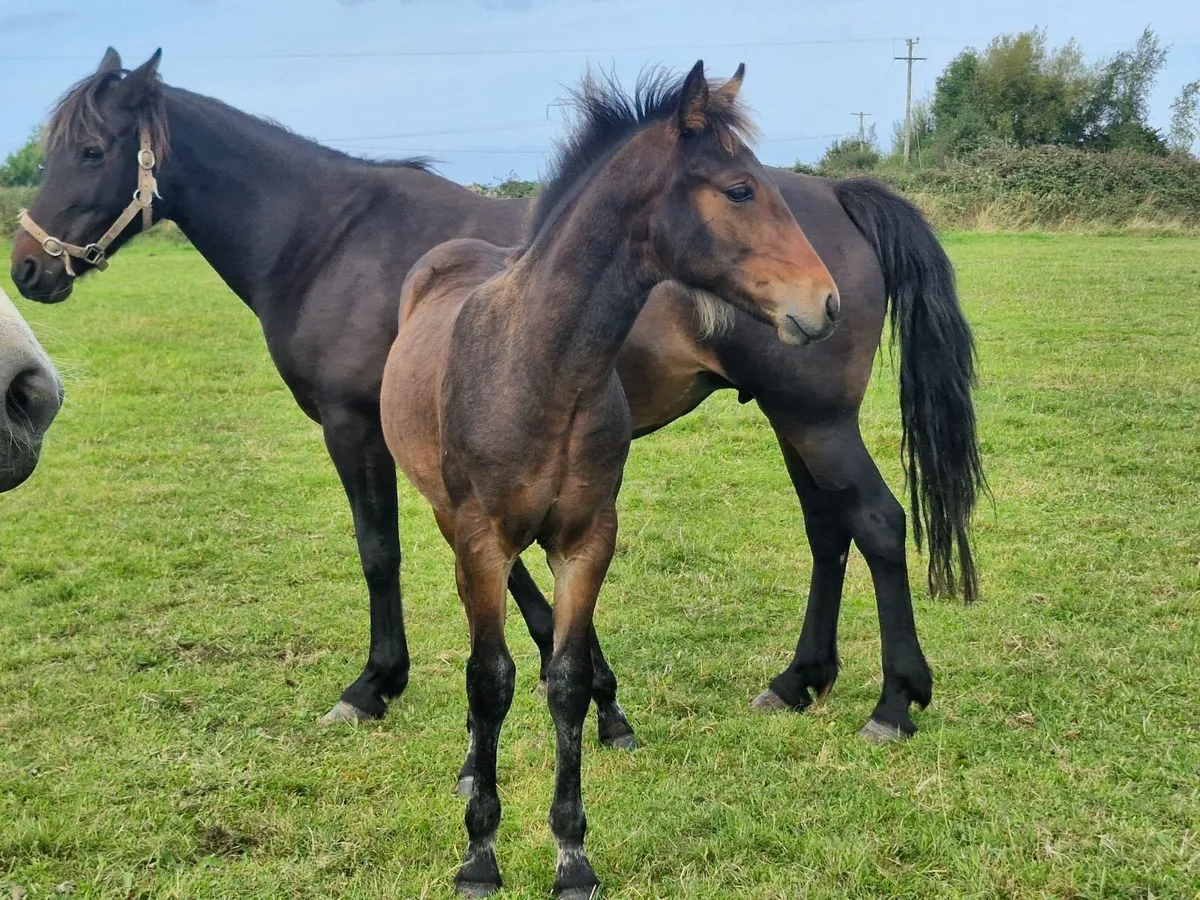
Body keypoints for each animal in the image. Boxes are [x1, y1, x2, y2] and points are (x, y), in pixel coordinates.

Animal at [10, 48, 983, 744]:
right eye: (56, 150)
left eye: (91, 151)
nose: (26, 268)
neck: (326, 234)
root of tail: (843, 199)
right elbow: (510, 577)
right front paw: (594, 689)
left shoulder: (353, 430)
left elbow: (379, 554)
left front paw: (373, 686)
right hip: (793, 420)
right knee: (829, 533)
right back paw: (797, 681)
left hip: (815, 419)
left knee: (878, 525)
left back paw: (895, 703)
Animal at [383, 61, 839, 899]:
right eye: (739, 189)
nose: (823, 303)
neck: (542, 367)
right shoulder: (481, 538)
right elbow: (488, 678)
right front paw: (480, 853)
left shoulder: (587, 536)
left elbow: (563, 677)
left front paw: (571, 854)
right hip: (445, 517)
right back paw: (469, 766)